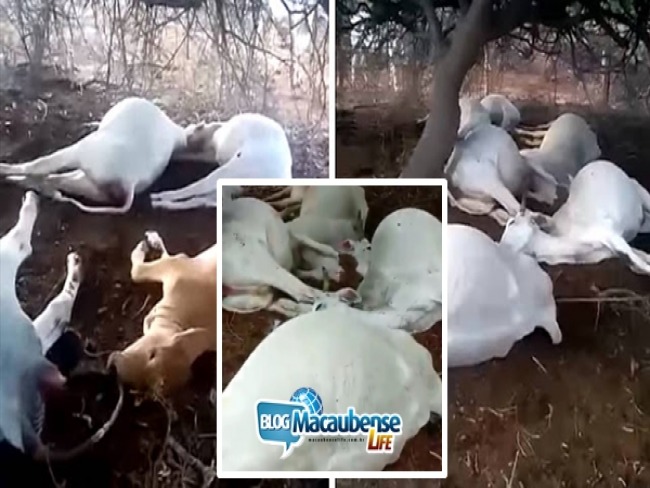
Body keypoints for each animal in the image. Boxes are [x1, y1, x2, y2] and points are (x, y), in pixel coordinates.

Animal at [107, 231, 215, 394]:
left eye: (152, 355)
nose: (114, 368)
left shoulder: (176, 264)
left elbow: (138, 271)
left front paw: (147, 244)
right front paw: (152, 241)